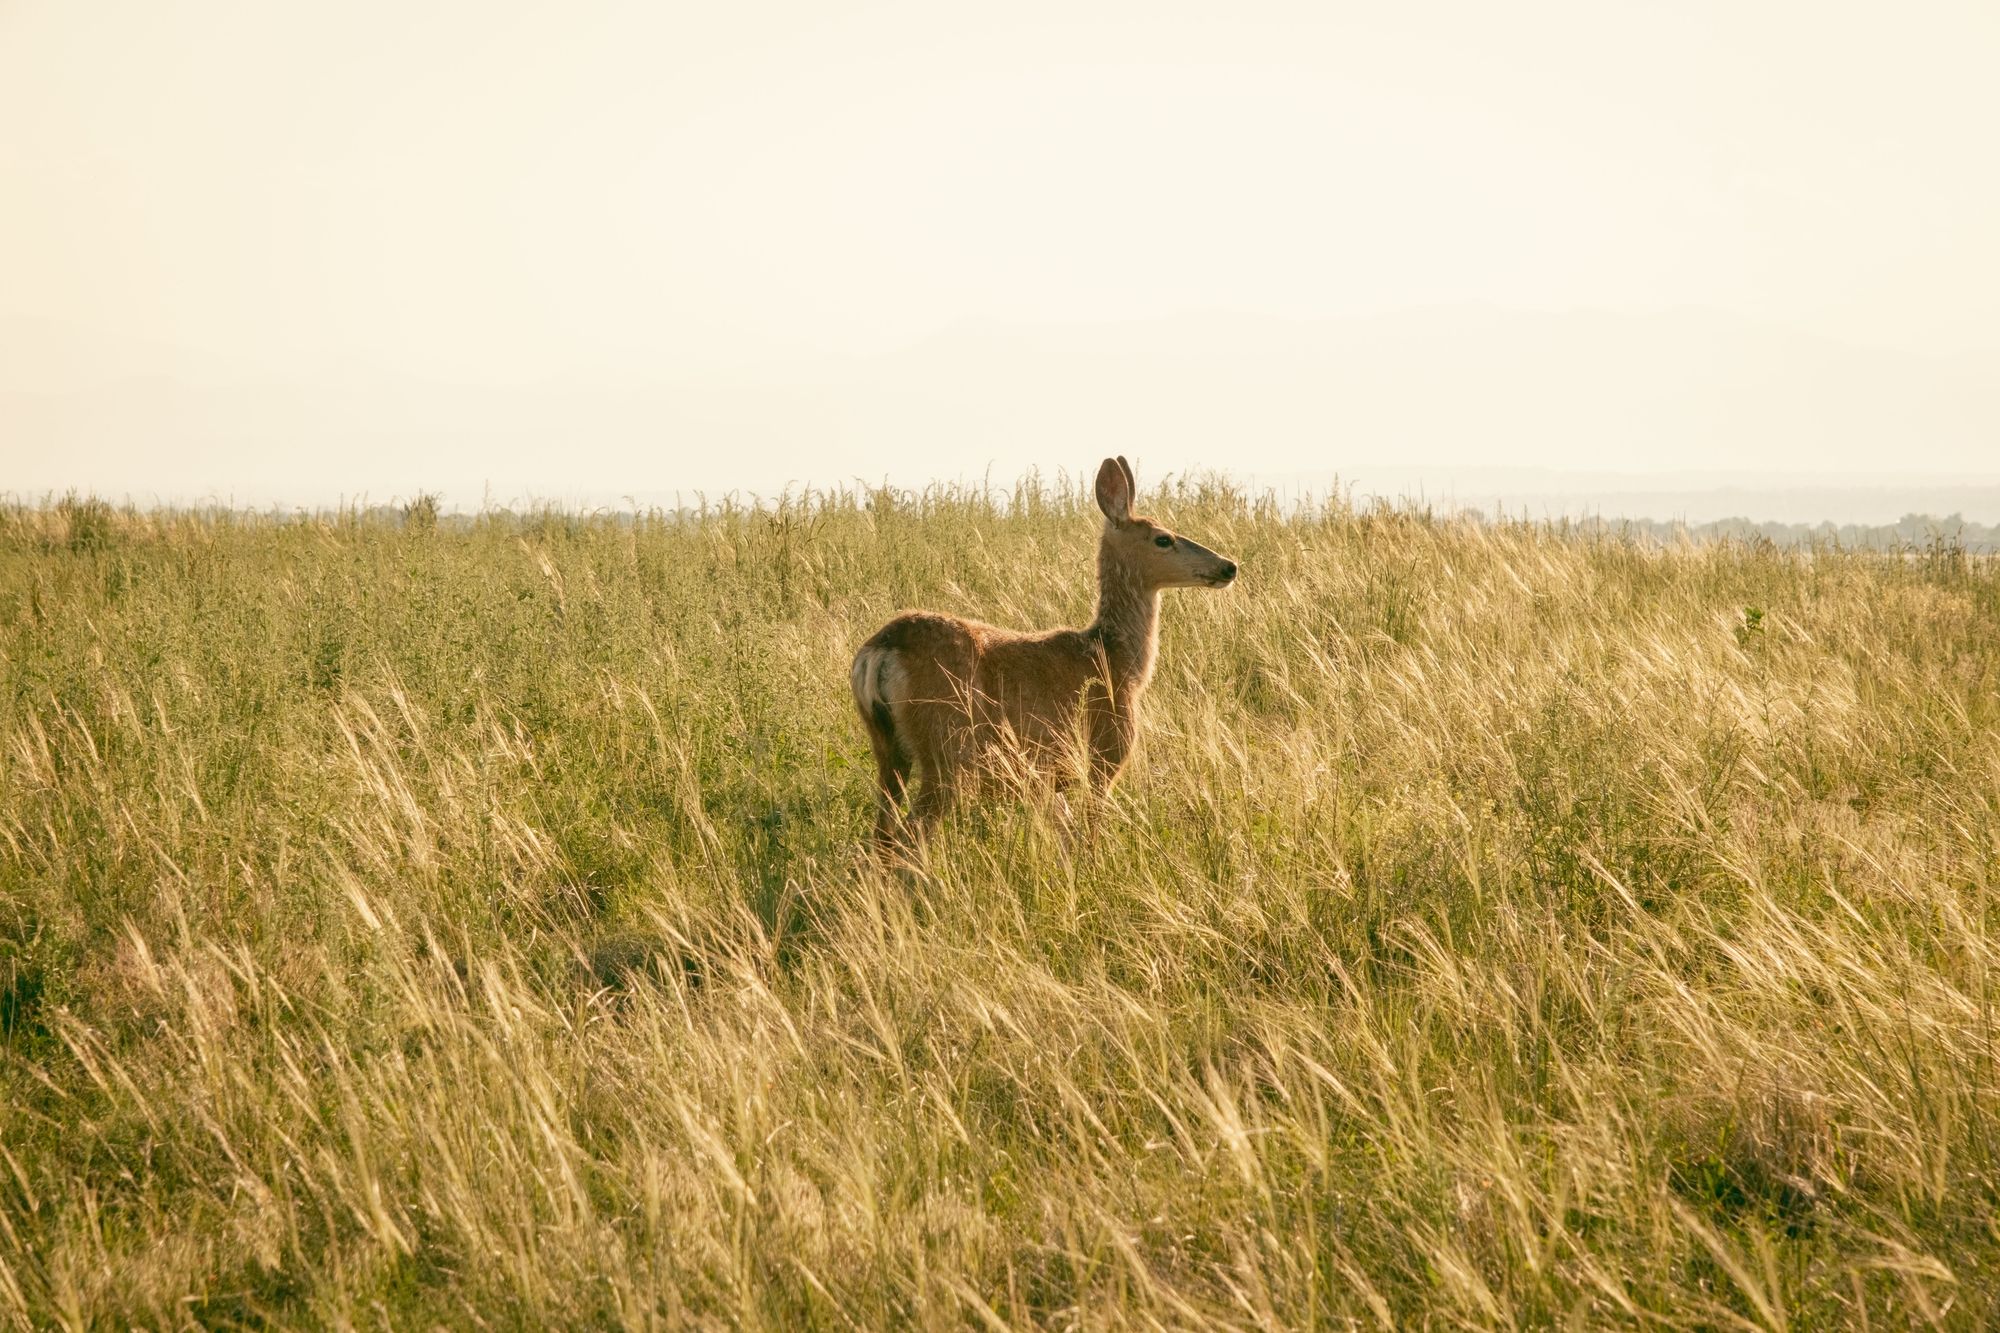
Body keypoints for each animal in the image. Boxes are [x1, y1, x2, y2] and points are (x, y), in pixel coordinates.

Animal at [850, 456, 1239, 853]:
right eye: (1164, 538)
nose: (1228, 566)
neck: (1118, 661)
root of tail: (881, 649)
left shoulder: (1050, 782)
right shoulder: (1103, 754)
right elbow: (1088, 834)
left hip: (888, 749)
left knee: (880, 837)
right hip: (945, 746)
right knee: (905, 839)